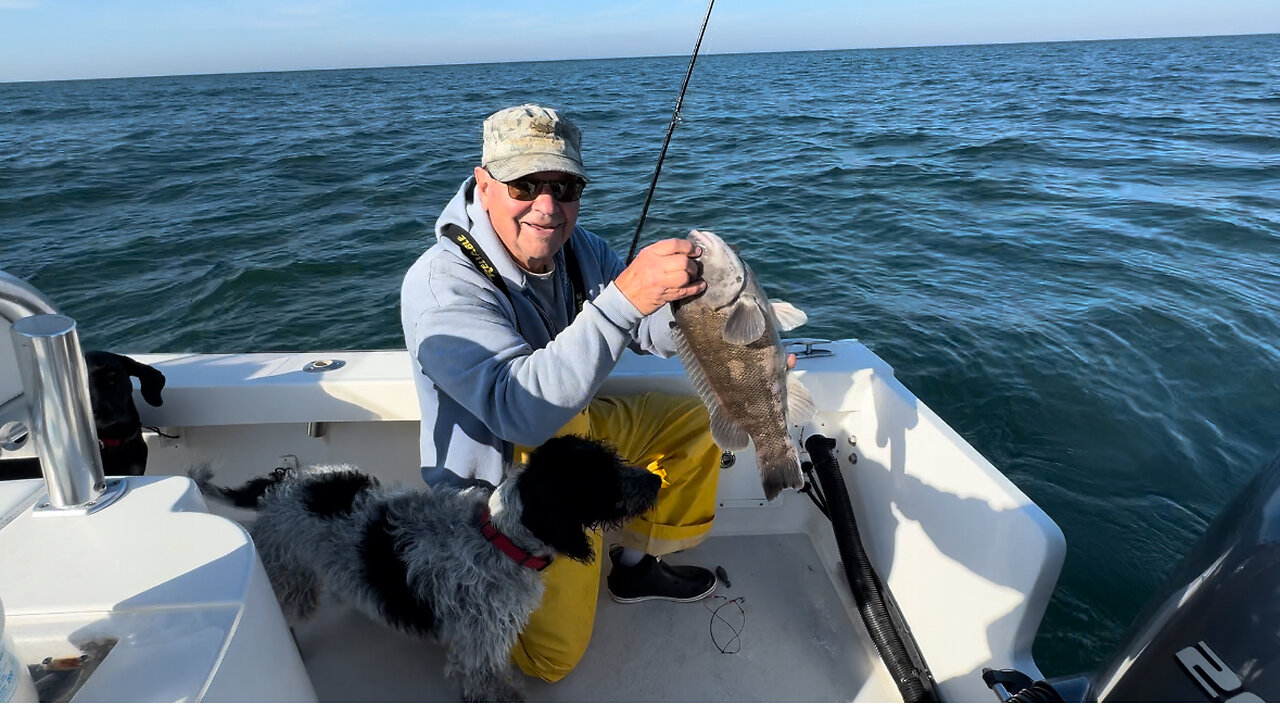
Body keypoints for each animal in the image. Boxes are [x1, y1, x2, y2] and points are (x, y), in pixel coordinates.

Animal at [197, 435, 670, 701]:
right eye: (597, 477)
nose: (655, 481)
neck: (498, 537)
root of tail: (277, 484)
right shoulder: (480, 644)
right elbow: (488, 684)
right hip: (289, 579)